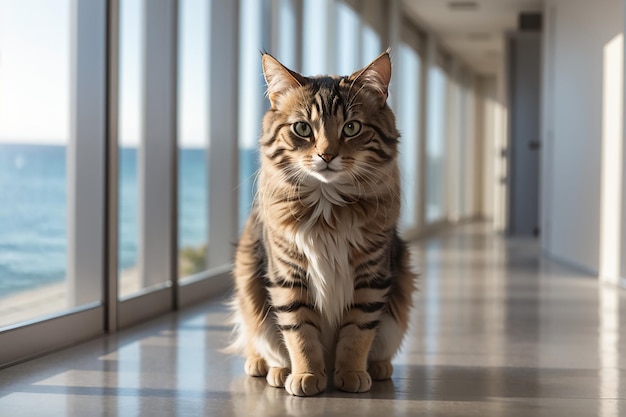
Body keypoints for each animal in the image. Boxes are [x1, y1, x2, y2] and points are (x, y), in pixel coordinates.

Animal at [228, 50, 414, 394]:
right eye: (303, 128)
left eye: (351, 127)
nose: (327, 155)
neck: (328, 208)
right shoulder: (288, 274)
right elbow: (300, 333)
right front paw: (307, 375)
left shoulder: (371, 276)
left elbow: (357, 333)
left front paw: (351, 373)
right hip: (247, 283)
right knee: (256, 339)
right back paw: (269, 367)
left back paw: (378, 367)